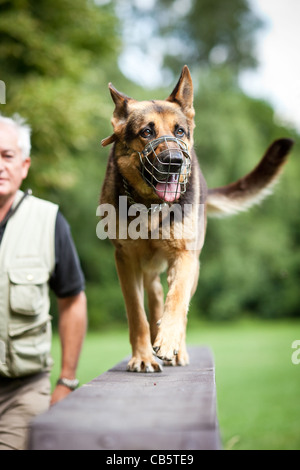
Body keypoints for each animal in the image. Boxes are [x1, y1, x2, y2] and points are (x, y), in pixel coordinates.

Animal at [100, 66, 292, 372]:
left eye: (179, 131)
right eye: (146, 132)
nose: (174, 162)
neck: (152, 207)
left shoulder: (185, 257)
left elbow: (177, 300)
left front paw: (168, 341)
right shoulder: (126, 261)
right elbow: (136, 314)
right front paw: (143, 356)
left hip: (192, 268)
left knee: (177, 304)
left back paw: (176, 347)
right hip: (148, 269)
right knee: (155, 298)